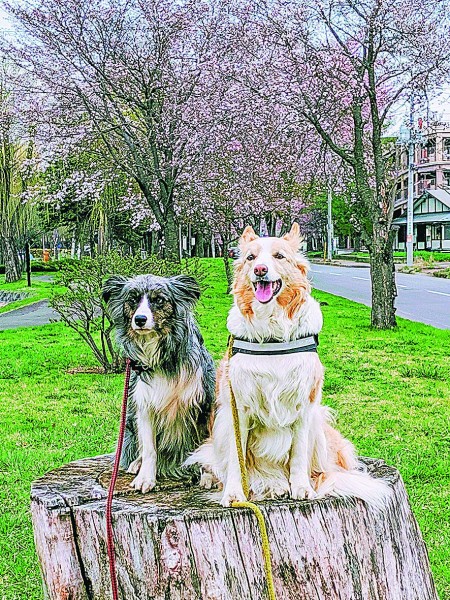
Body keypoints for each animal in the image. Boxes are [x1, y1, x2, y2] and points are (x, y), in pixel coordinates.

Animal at [103, 274, 215, 490]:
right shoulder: (144, 406)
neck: (162, 360)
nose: (139, 319)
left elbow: (205, 444)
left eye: (159, 300)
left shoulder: (204, 405)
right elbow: (149, 449)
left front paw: (209, 475)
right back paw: (136, 464)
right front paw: (146, 477)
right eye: (132, 299)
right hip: (130, 421)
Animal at [188, 221, 388, 506]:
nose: (260, 270)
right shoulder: (237, 408)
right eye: (251, 258)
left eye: (279, 256)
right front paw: (234, 493)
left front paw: (301, 487)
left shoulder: (304, 406)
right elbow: (235, 459)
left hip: (320, 425)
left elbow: (299, 454)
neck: (271, 331)